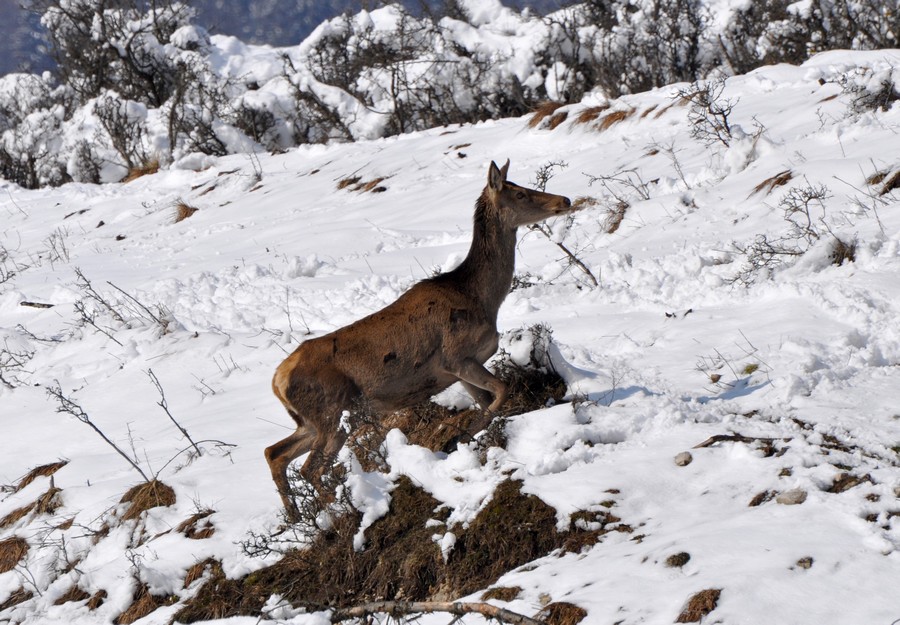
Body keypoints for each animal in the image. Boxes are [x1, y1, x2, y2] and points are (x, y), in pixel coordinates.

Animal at [268, 158, 576, 520]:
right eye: (520, 193)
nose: (565, 200)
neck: (481, 297)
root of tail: (277, 381)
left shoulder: (458, 369)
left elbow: (489, 402)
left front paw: (468, 438)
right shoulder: (456, 356)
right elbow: (501, 391)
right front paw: (456, 439)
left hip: (309, 420)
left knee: (274, 453)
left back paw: (299, 518)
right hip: (330, 410)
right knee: (310, 468)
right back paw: (337, 513)